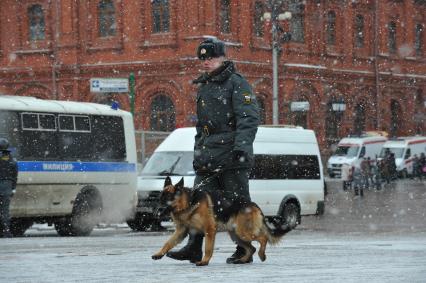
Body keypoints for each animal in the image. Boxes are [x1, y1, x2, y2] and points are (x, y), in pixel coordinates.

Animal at [151, 178, 290, 266]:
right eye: (159, 198)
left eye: (167, 199)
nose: (155, 211)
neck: (189, 203)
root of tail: (254, 205)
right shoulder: (181, 231)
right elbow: (168, 243)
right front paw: (159, 254)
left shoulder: (210, 230)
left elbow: (208, 248)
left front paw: (204, 261)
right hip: (236, 235)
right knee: (252, 248)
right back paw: (242, 260)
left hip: (243, 232)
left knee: (263, 239)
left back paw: (262, 255)